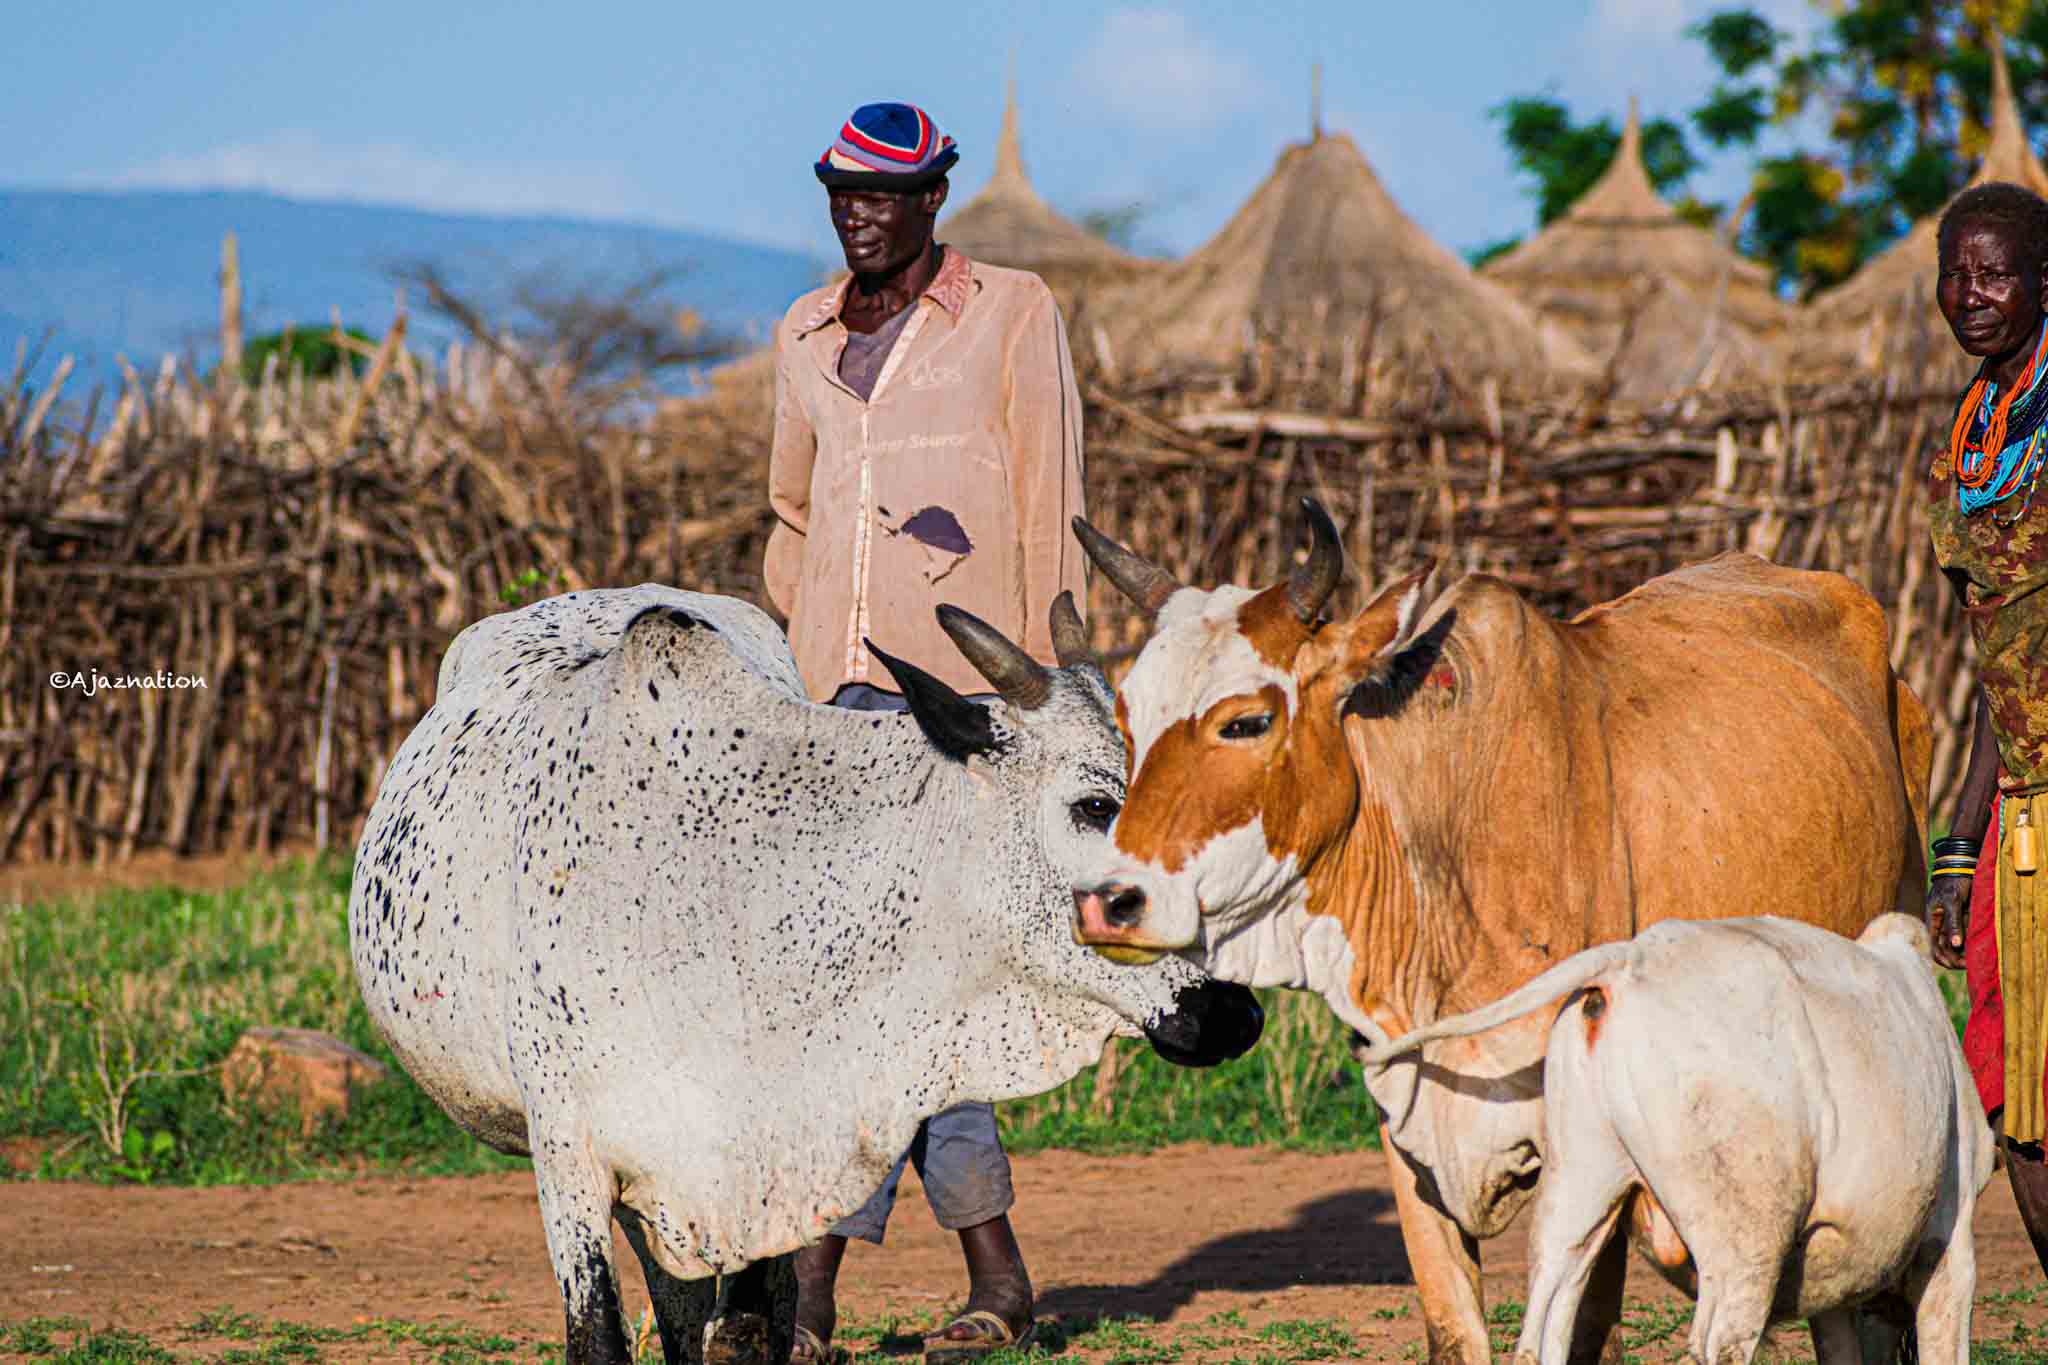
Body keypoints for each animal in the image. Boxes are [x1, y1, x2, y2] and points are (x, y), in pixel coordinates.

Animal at [348, 585, 1261, 1365]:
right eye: (1095, 806)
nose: (1234, 1013)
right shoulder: (569, 1160)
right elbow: (600, 1339)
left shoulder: (775, 1175)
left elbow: (746, 1334)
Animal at [1368, 912, 1990, 1365]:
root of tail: (1628, 962)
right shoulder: (1949, 1238)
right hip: (1747, 1235)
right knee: (1719, 1344)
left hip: (1581, 1187)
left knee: (1544, 1318)